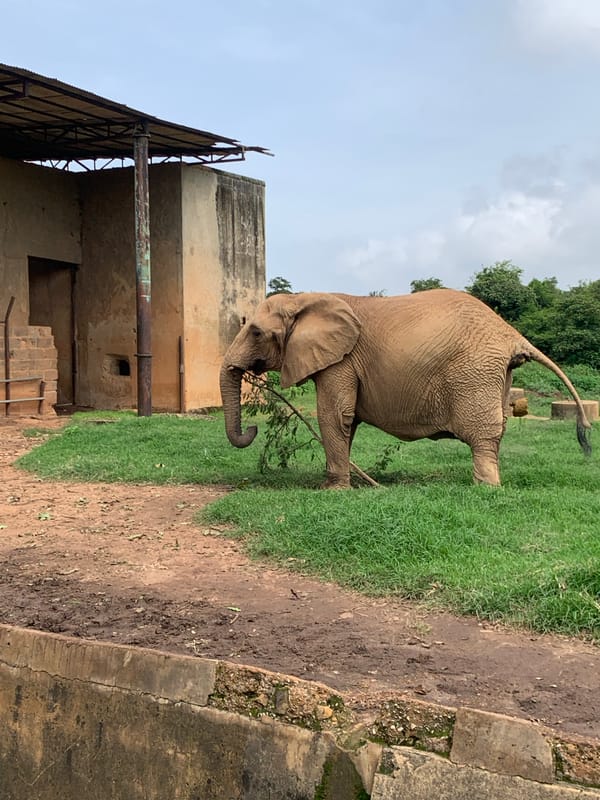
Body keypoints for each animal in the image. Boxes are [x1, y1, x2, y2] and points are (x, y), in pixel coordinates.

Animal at [220, 289, 592, 488]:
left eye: (255, 332)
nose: (252, 428)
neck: (305, 298)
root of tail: (511, 334)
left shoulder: (342, 361)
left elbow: (334, 415)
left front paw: (332, 491)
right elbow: (346, 421)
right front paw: (335, 484)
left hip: (475, 372)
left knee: (483, 433)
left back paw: (485, 488)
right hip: (496, 373)